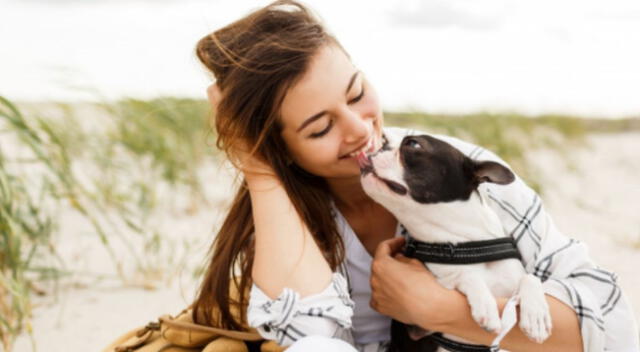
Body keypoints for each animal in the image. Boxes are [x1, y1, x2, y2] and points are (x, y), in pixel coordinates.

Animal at [358, 133, 552, 350]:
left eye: (413, 144)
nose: (381, 143)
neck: (464, 244)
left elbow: (530, 278)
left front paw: (536, 317)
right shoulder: (417, 325)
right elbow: (466, 276)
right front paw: (486, 306)